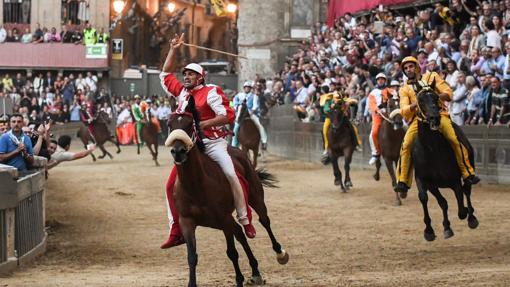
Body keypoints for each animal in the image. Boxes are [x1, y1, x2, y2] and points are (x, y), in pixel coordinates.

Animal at [165, 96, 288, 287]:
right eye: (169, 124)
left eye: (190, 124)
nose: (178, 151)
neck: (196, 185)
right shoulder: (187, 221)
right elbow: (192, 256)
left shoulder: (223, 219)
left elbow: (232, 252)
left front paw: (239, 280)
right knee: (240, 233)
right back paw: (255, 271)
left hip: (255, 198)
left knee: (263, 221)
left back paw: (279, 253)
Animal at [412, 86, 480, 242]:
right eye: (420, 100)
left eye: (436, 97)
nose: (434, 118)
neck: (431, 149)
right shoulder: (425, 181)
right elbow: (428, 199)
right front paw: (430, 231)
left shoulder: (454, 181)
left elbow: (461, 207)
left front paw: (467, 214)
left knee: (467, 189)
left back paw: (472, 218)